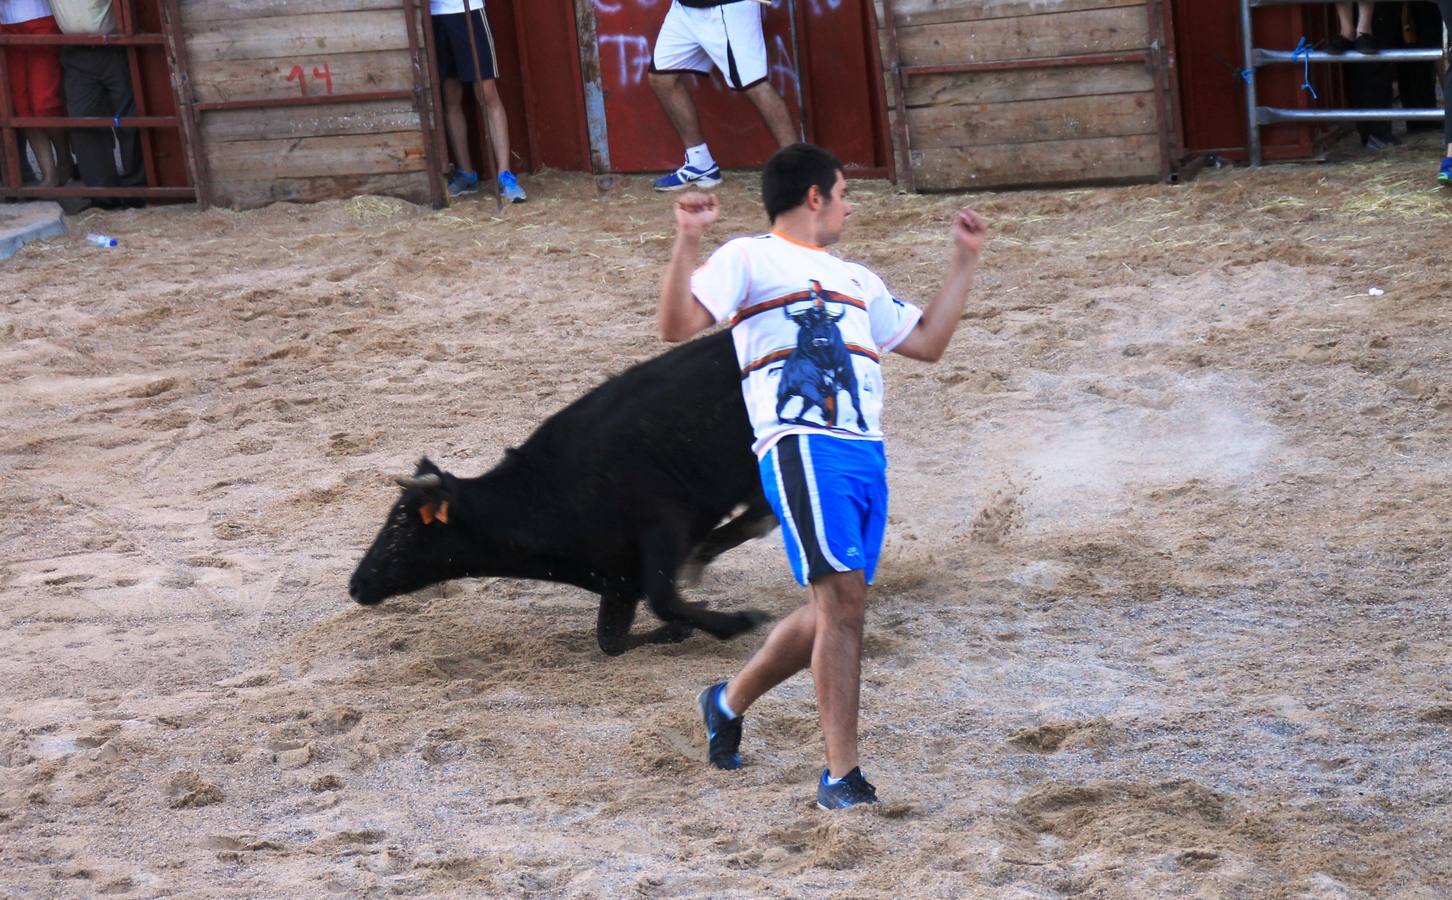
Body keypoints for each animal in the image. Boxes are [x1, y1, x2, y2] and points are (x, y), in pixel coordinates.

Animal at [348, 330, 784, 653]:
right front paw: (678, 631)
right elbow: (611, 639)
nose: (356, 584)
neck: (547, 493)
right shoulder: (618, 579)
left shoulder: (665, 522)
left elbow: (663, 600)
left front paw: (740, 621)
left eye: (403, 527)